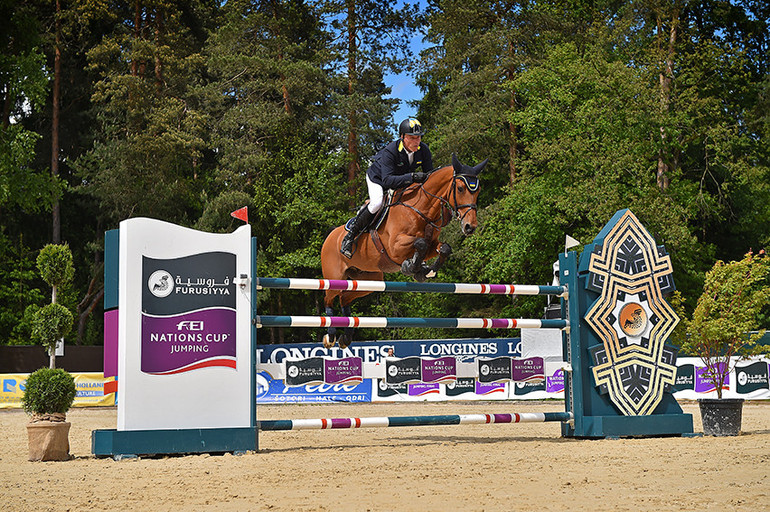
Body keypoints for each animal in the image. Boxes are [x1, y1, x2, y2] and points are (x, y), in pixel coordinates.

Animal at [318, 153, 486, 348]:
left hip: (371, 280)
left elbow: (443, 247)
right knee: (328, 299)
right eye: (460, 188)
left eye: (477, 191)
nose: (470, 227)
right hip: (335, 277)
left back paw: (346, 337)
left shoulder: (432, 243)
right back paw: (331, 336)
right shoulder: (395, 247)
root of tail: (330, 236)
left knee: (344, 298)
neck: (422, 208)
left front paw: (425, 271)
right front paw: (412, 267)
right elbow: (420, 243)